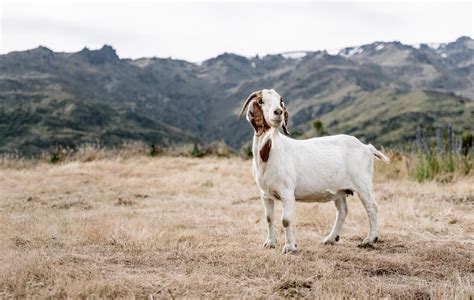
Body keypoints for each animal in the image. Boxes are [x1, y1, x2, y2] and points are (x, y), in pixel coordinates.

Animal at [237, 88, 388, 253]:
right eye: (261, 101)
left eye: (280, 101)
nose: (278, 112)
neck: (270, 154)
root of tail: (367, 147)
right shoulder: (265, 194)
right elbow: (269, 218)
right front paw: (270, 243)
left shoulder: (287, 192)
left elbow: (286, 220)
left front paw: (290, 247)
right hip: (340, 189)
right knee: (342, 211)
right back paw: (330, 239)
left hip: (362, 183)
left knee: (372, 207)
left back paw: (369, 240)